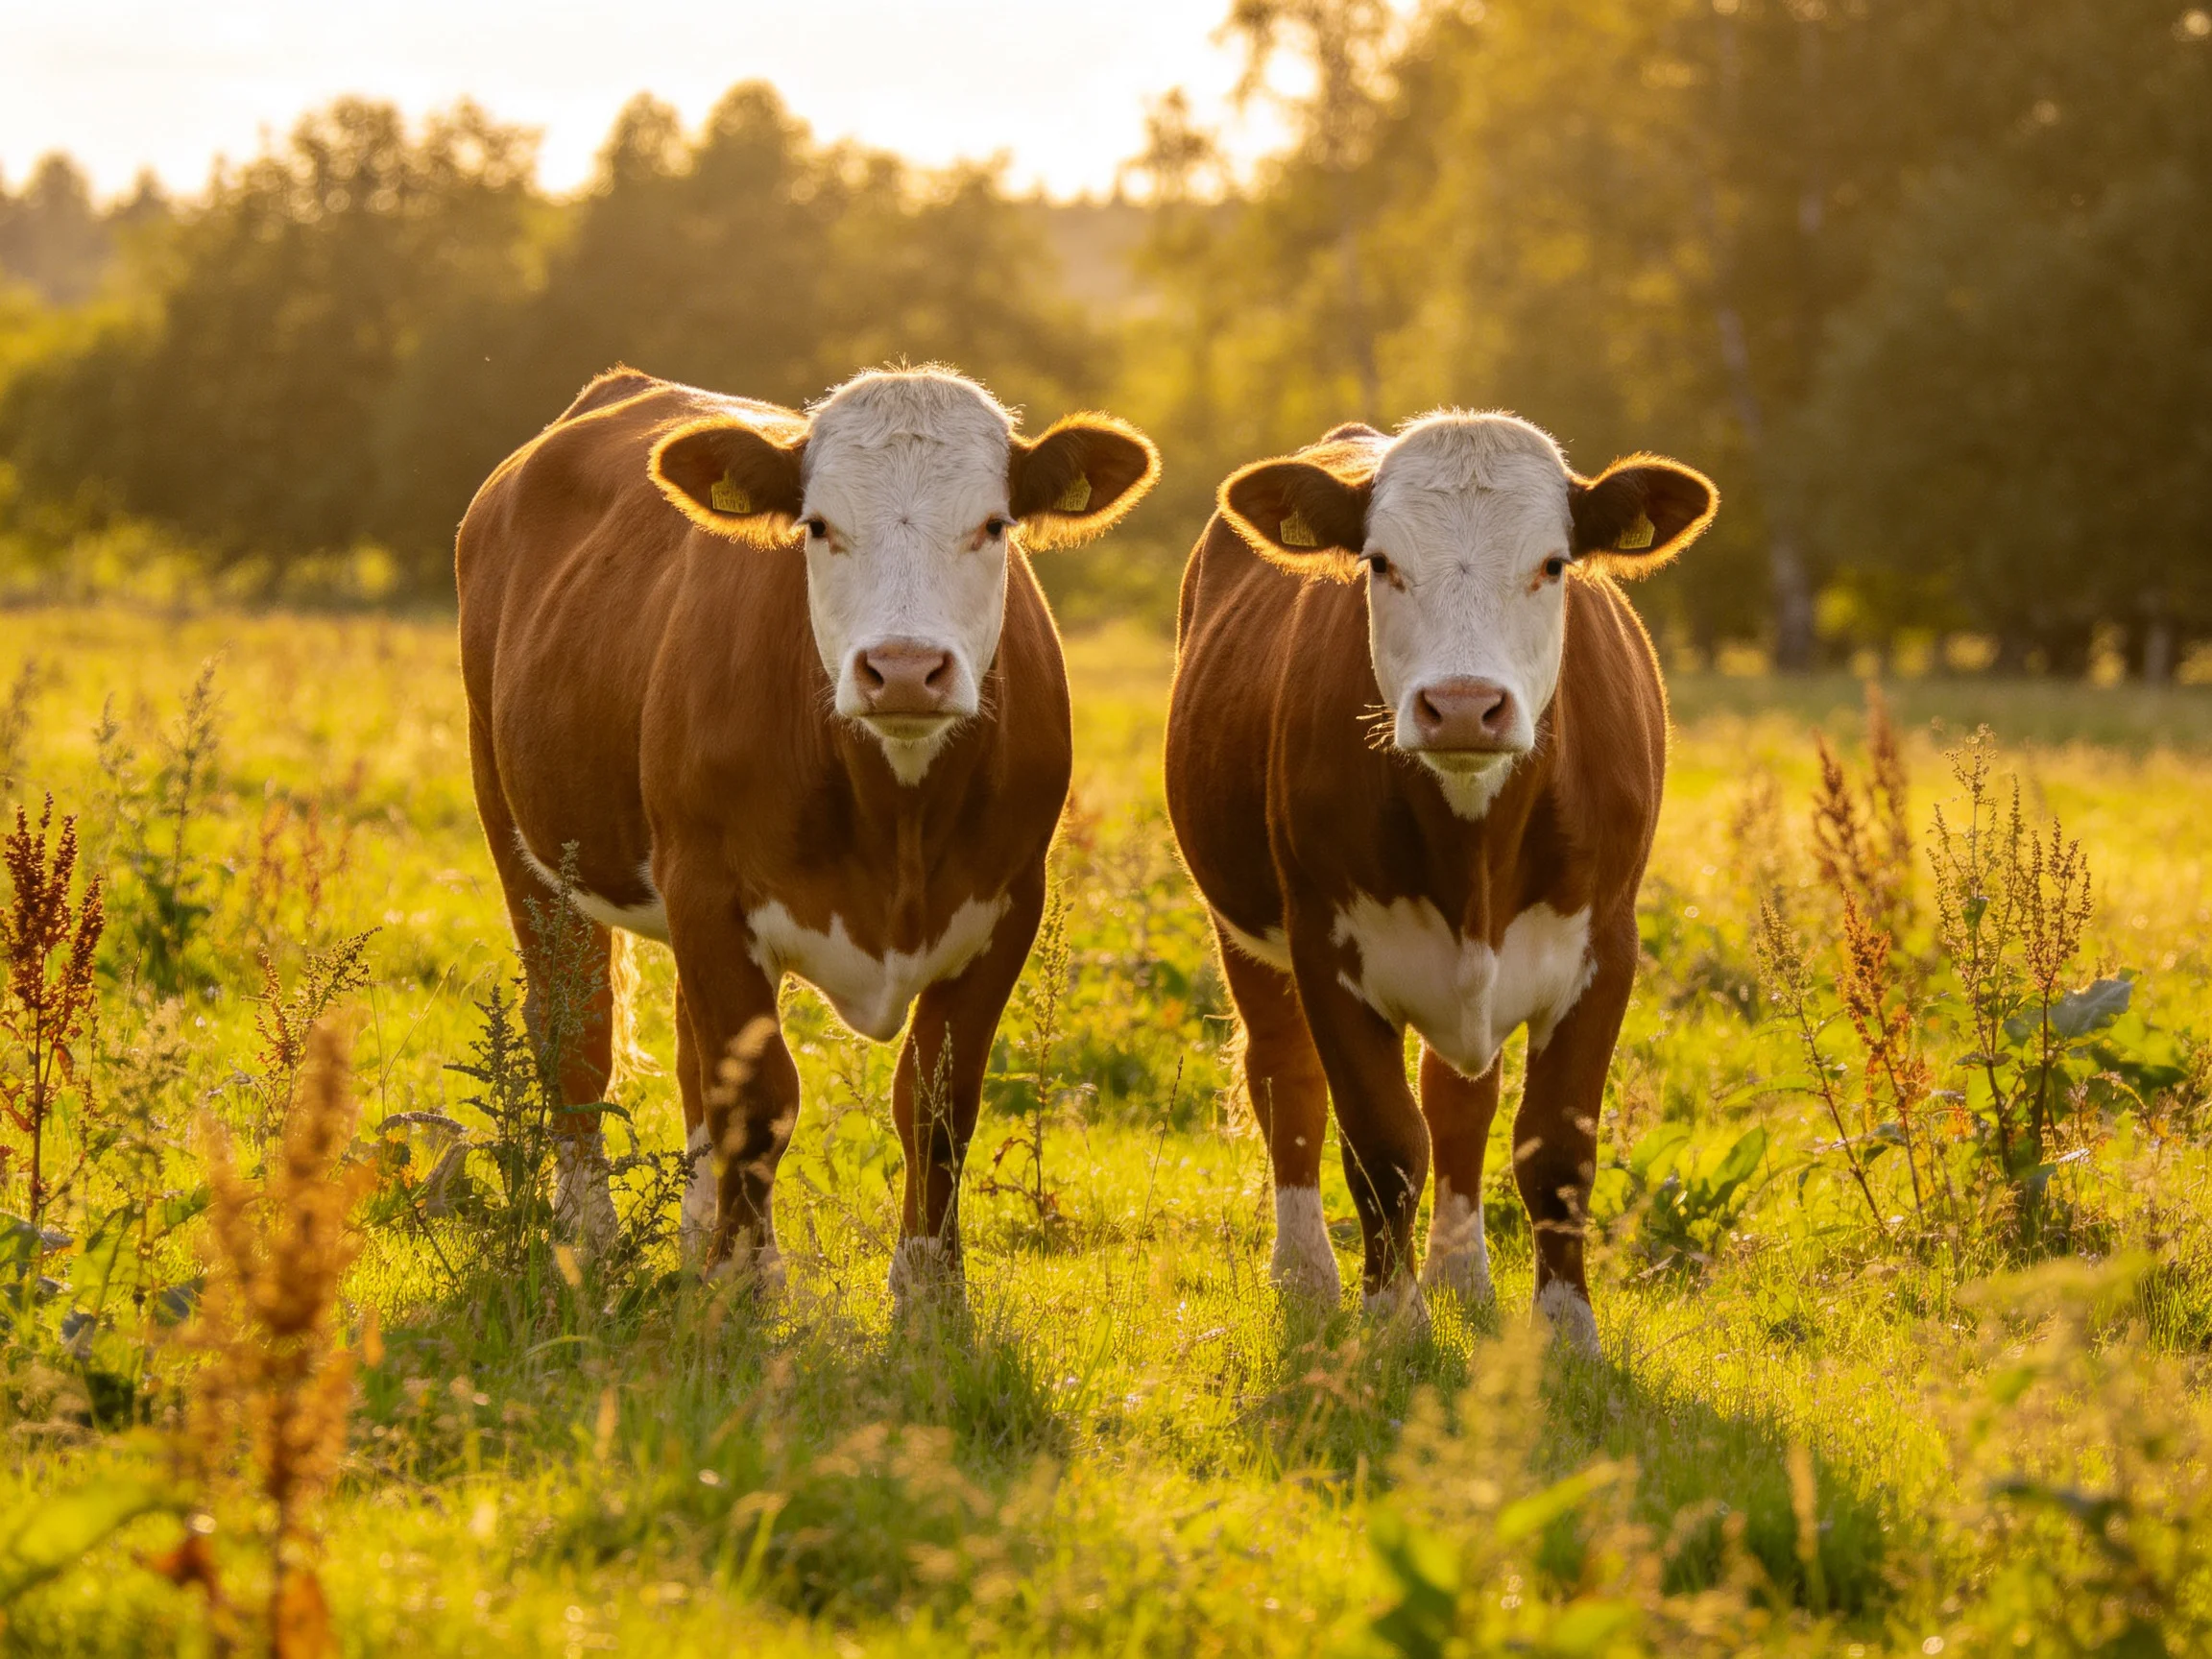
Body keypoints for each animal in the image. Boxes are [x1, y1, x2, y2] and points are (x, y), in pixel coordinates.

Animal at [457, 365, 1159, 1294]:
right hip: (524, 838)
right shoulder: (710, 892)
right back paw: (590, 1236)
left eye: (994, 524)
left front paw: (929, 1292)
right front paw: (741, 1285)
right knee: (576, 1029)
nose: (905, 668)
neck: (897, 816)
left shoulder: (1010, 901)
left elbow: (936, 1101)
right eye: (818, 526)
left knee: (690, 1055)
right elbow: (758, 1101)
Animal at [1163, 412, 1716, 1345]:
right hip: (1244, 930)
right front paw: (1392, 1323)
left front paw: (1568, 1332)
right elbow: (1382, 1143)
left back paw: (1462, 1277)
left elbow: (1554, 1148)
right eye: (1380, 562)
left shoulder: (1606, 946)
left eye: (1553, 564)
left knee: (1461, 1102)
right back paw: (1305, 1276)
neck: (1475, 851)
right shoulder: (1325, 945)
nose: (1462, 705)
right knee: (1287, 1083)